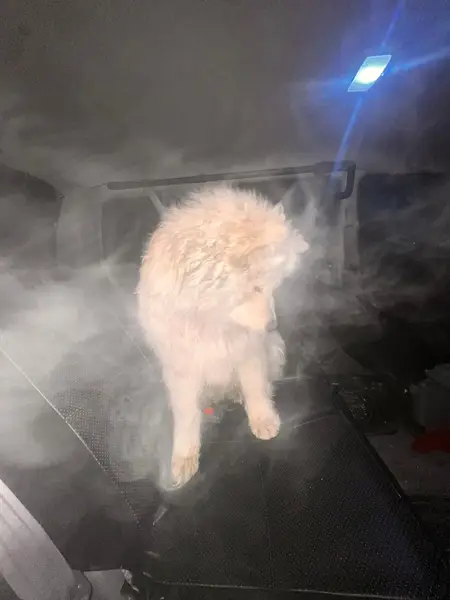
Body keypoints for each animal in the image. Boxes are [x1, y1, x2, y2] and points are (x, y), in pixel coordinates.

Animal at [137, 184, 308, 487]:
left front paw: (263, 418)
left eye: (274, 285)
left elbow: (255, 387)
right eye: (255, 288)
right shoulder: (182, 367)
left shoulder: (249, 350)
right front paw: (184, 457)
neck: (212, 320)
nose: (273, 327)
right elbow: (186, 416)